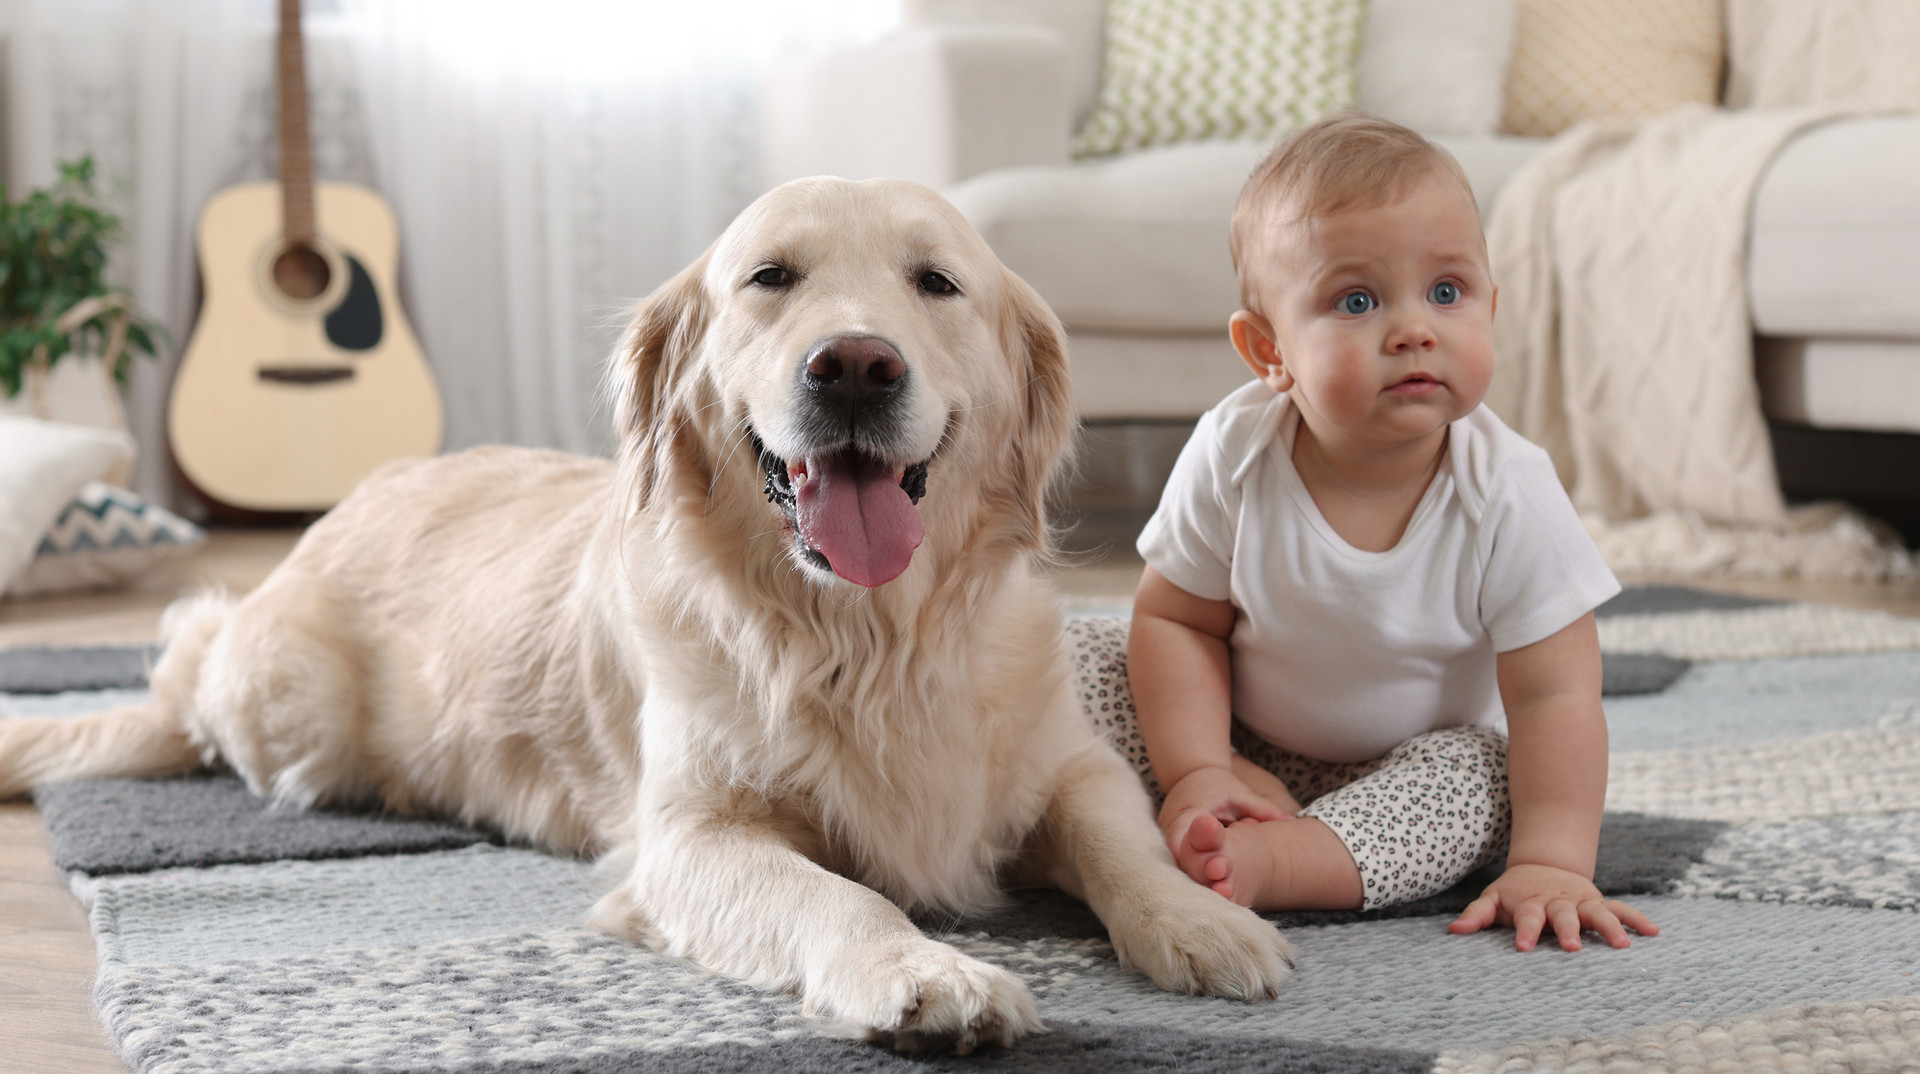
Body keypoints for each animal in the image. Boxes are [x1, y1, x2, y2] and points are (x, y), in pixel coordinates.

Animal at [3, 180, 1290, 1052]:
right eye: (770, 278)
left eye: (937, 282)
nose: (855, 366)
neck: (864, 637)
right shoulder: (689, 839)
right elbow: (844, 892)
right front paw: (927, 975)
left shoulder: (1066, 763)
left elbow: (1127, 835)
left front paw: (1202, 921)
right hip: (289, 708)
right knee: (190, 672)